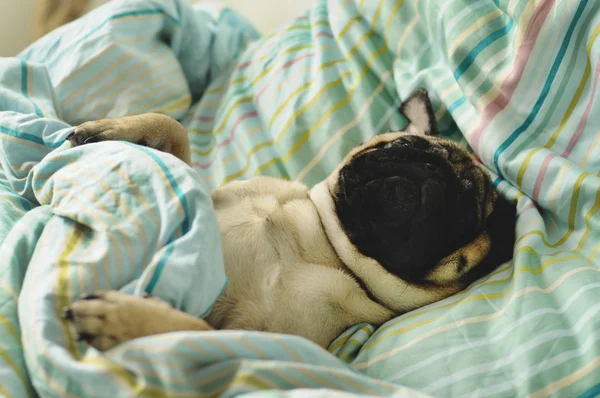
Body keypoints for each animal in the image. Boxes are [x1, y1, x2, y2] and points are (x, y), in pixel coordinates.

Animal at [64, 88, 516, 350]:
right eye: (403, 143)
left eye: (465, 216)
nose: (434, 175)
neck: (324, 246)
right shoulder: (210, 194)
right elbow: (175, 130)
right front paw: (115, 129)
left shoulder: (253, 337)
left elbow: (189, 331)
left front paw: (123, 320)